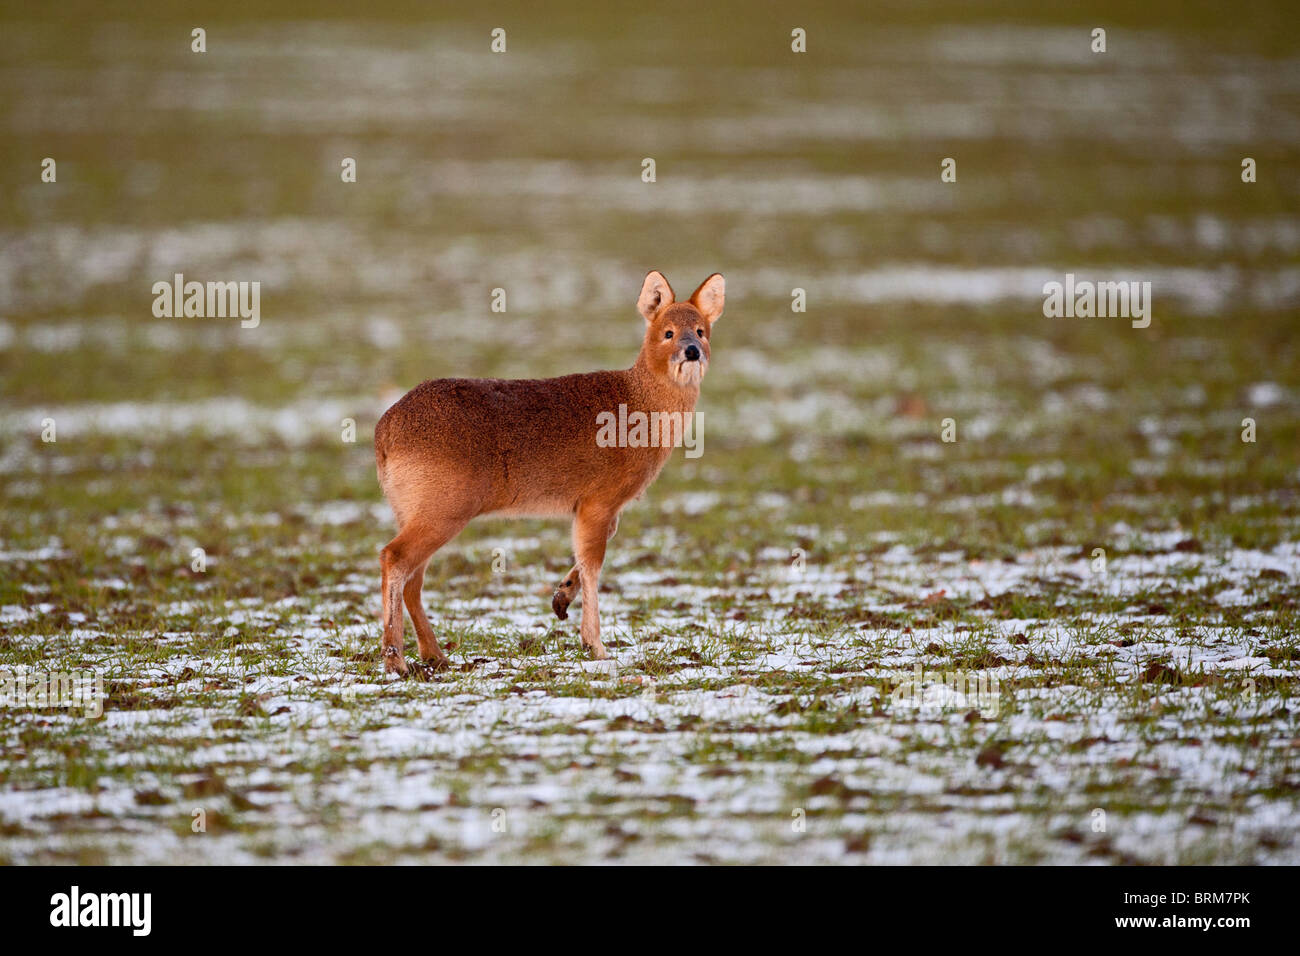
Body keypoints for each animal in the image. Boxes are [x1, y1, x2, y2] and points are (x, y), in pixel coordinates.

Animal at [374, 269, 722, 676]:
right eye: (667, 332)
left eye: (700, 330)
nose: (691, 350)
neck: (640, 411)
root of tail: (384, 433)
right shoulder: (599, 498)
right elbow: (593, 563)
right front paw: (596, 646)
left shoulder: (598, 508)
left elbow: (586, 559)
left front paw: (561, 598)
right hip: (443, 504)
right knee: (393, 558)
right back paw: (396, 660)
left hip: (414, 508)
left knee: (412, 578)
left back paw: (435, 655)